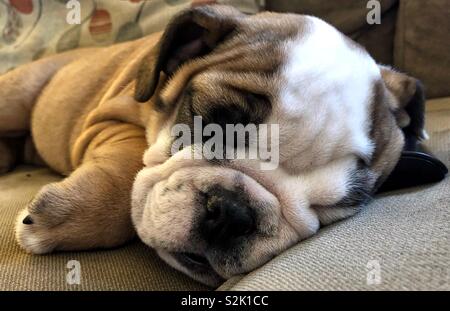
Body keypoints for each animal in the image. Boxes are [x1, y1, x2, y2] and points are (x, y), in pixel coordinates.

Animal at [0, 5, 426, 288]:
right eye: (214, 121)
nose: (233, 213)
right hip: (15, 99)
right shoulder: (110, 119)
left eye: (335, 205)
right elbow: (126, 169)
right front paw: (64, 222)